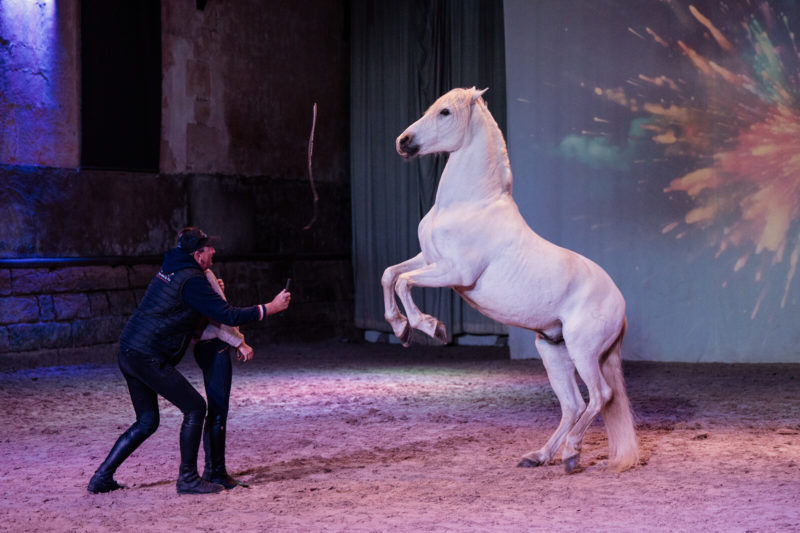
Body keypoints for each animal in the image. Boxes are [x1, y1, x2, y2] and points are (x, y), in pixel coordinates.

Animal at [381, 87, 639, 473]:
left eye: (445, 112)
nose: (404, 142)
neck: (469, 205)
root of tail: (620, 305)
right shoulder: (428, 259)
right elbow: (390, 276)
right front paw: (400, 328)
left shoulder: (453, 272)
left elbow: (404, 283)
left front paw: (429, 327)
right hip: (552, 351)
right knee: (573, 405)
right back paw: (540, 456)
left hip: (583, 350)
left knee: (599, 396)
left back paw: (571, 454)